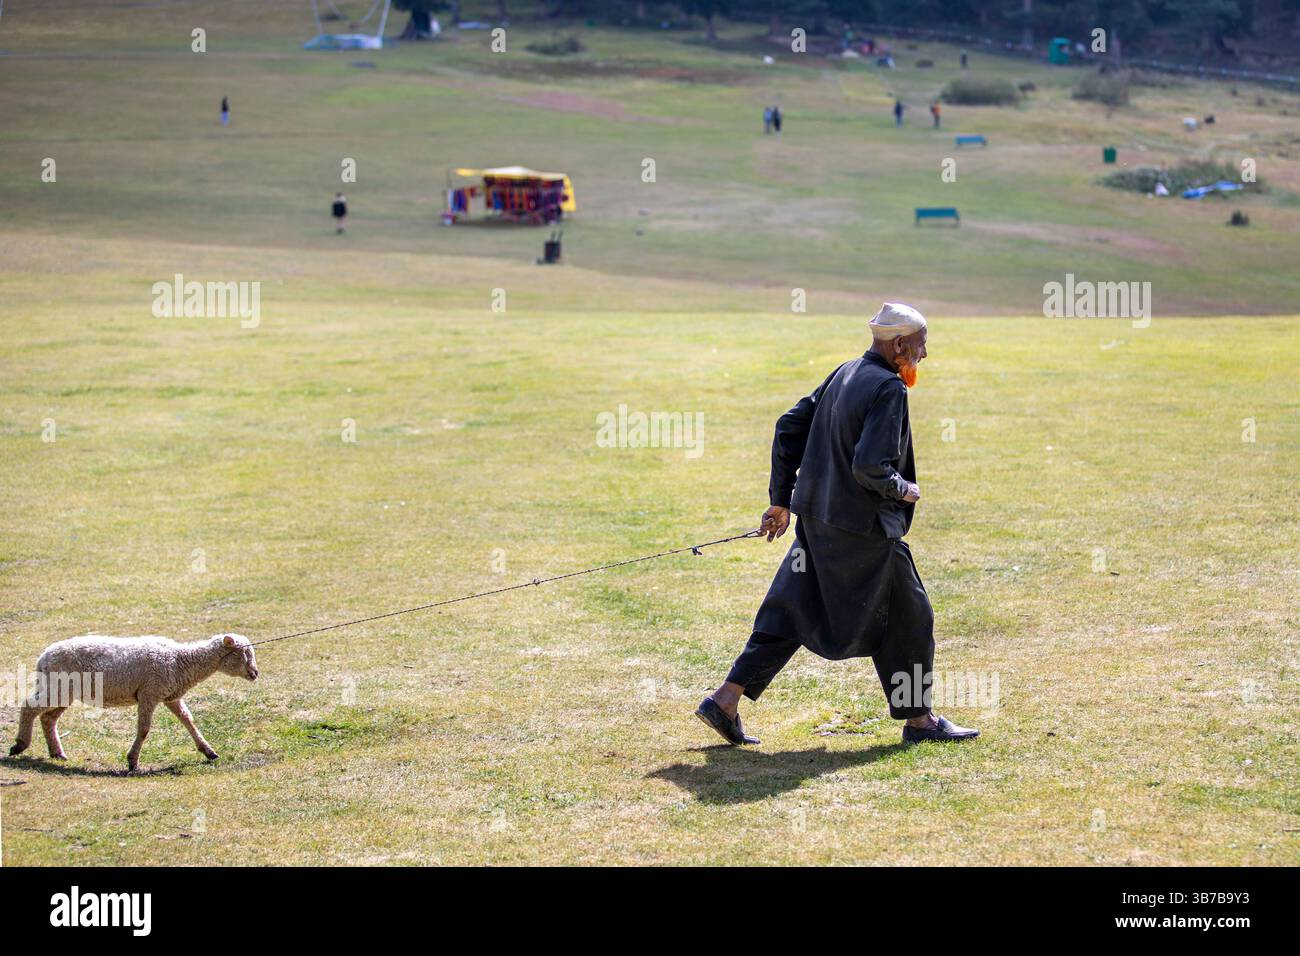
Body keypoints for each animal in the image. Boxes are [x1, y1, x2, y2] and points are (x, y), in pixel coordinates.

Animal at [8, 633, 259, 772]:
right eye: (243, 653)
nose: (255, 673)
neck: (181, 660)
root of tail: (43, 657)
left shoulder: (170, 695)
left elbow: (189, 721)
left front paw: (208, 751)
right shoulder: (149, 693)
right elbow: (144, 729)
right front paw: (132, 762)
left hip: (63, 691)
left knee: (47, 718)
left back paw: (57, 753)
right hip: (58, 687)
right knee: (29, 707)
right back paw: (20, 745)